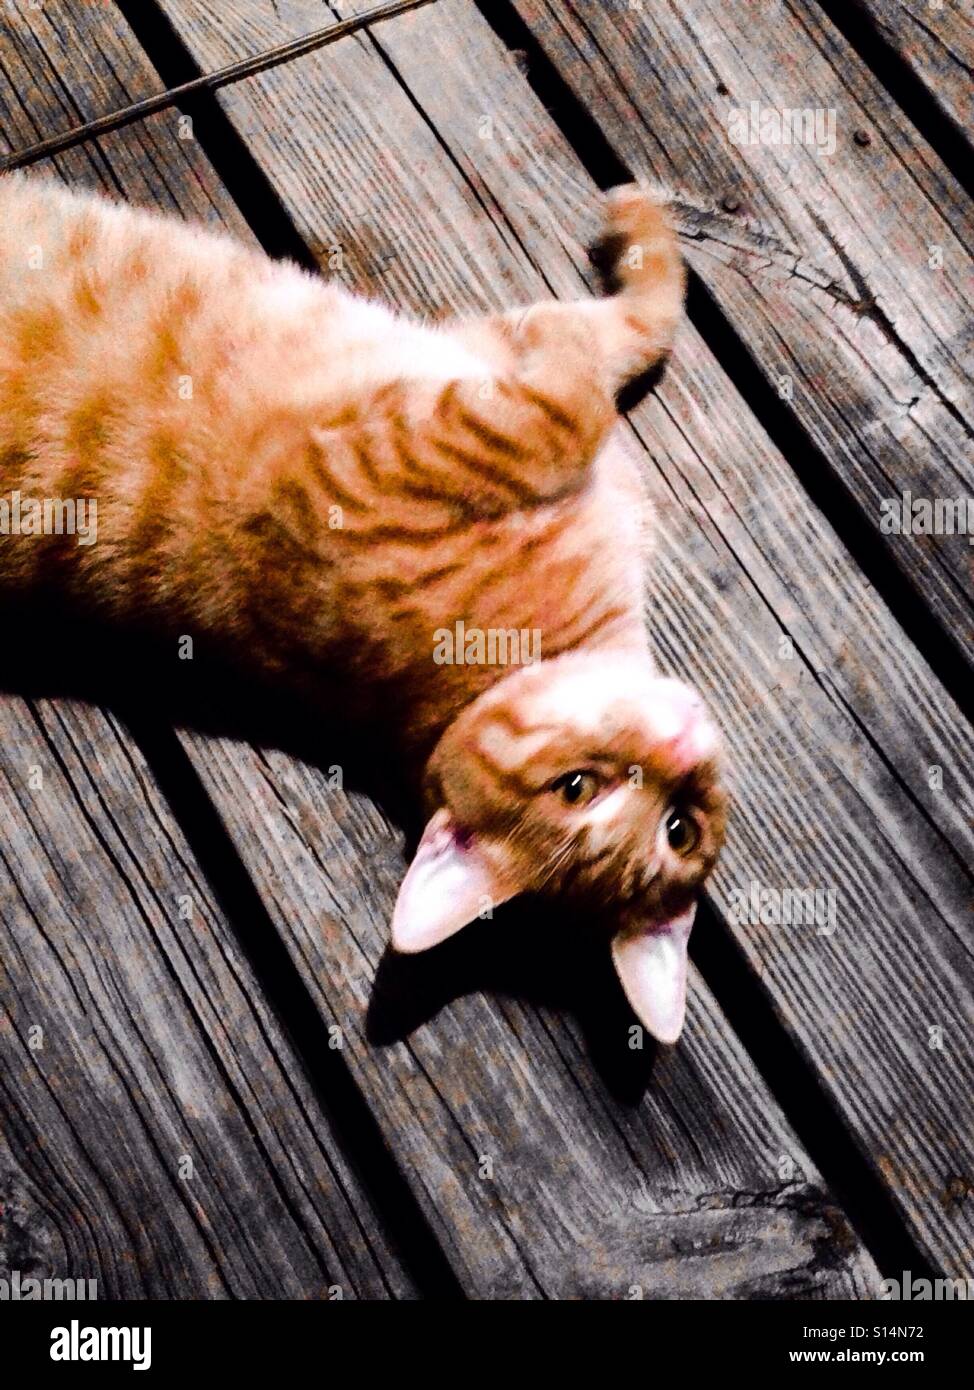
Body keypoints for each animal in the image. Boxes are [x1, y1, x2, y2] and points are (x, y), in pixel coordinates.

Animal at [0, 170, 722, 1045]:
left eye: (678, 827)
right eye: (578, 789)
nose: (680, 747)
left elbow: (593, 349)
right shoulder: (481, 389)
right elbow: (619, 335)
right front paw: (642, 226)